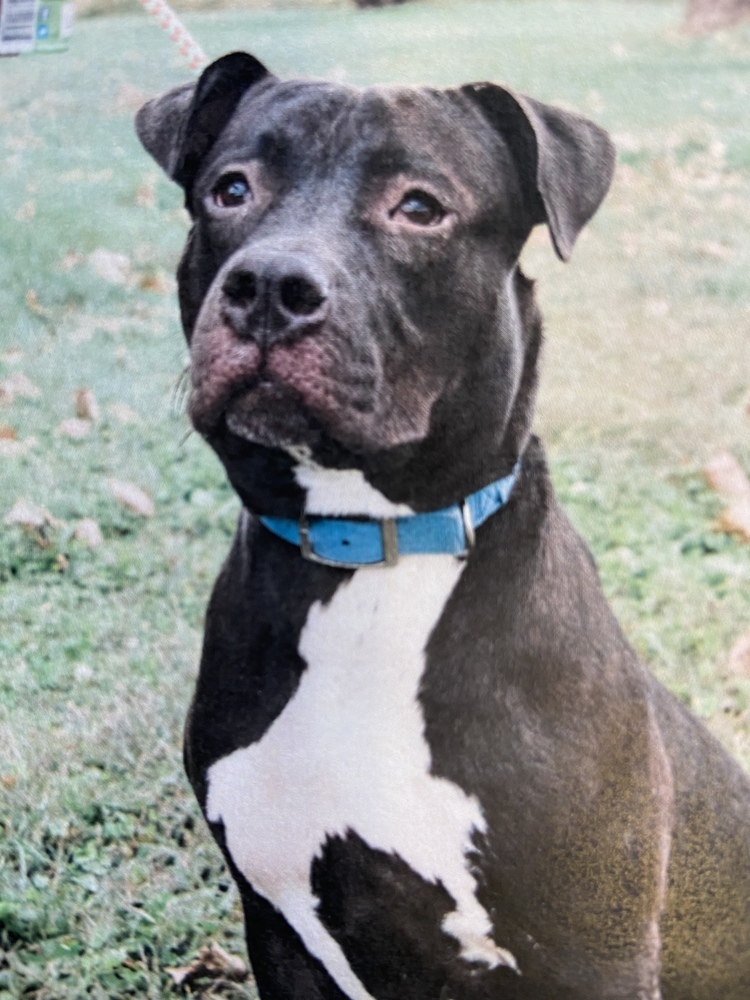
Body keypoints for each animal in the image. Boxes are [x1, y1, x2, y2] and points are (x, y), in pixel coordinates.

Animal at [137, 54, 750, 1000]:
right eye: (230, 189)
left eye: (420, 207)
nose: (269, 286)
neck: (371, 553)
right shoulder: (277, 928)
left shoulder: (597, 952)